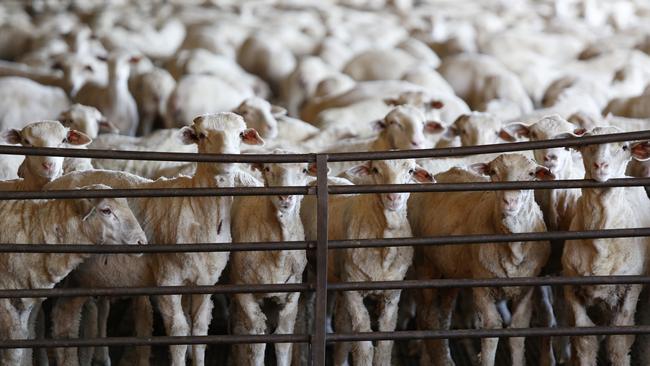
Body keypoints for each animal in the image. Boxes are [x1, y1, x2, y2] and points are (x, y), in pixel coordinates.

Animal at [45, 112, 264, 366]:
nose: (227, 159)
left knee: (65, 318)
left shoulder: (205, 282)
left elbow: (199, 332)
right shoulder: (167, 279)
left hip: (80, 278)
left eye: (240, 134)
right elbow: (179, 334)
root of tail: (54, 183)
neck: (198, 211)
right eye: (201, 135)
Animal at [298, 159, 430, 366]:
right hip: (310, 271)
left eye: (410, 171)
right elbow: (363, 346)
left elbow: (384, 346)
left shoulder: (392, 295)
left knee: (341, 320)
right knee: (306, 308)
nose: (394, 197)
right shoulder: (352, 291)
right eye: (375, 169)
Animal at [408, 154, 548, 366]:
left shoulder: (527, 288)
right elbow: (491, 329)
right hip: (425, 265)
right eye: (493, 172)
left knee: (444, 315)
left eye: (531, 174)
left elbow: (518, 329)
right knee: (428, 316)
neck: (512, 248)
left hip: (450, 272)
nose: (510, 201)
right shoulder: (482, 286)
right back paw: (440, 359)